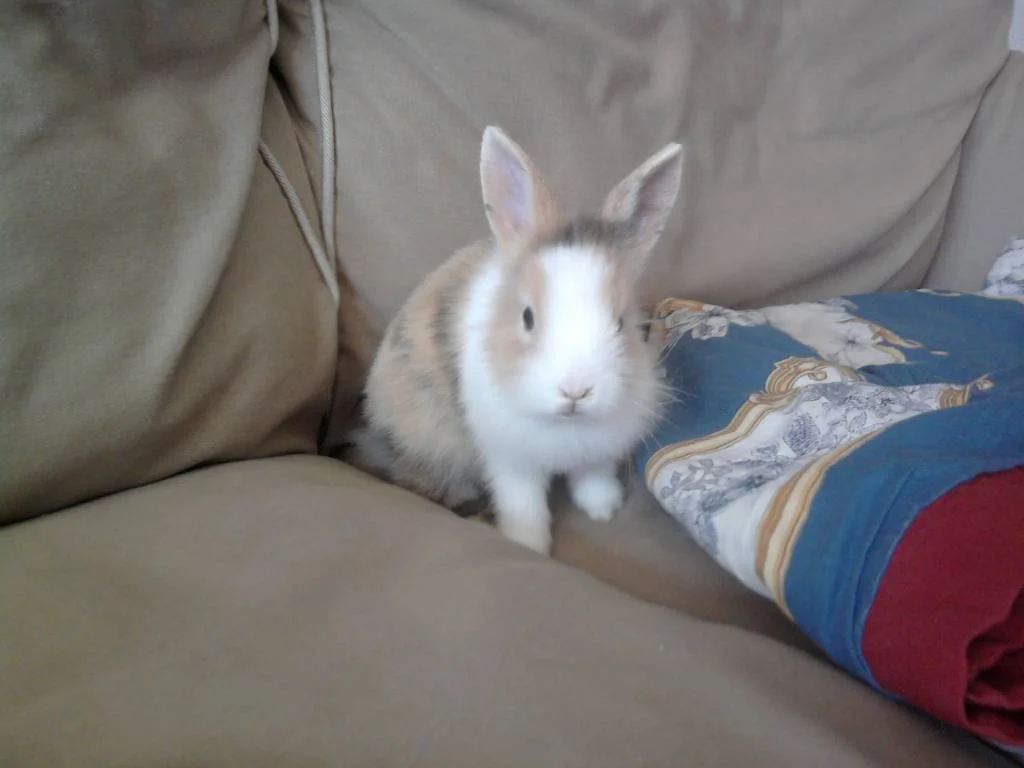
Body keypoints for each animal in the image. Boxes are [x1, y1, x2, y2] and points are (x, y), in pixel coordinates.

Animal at [354, 126, 684, 555]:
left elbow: (591, 476)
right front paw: (529, 546)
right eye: (527, 317)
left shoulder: (596, 449)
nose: (576, 392)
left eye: (621, 323)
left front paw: (603, 510)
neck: (564, 425)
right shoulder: (510, 460)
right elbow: (523, 504)